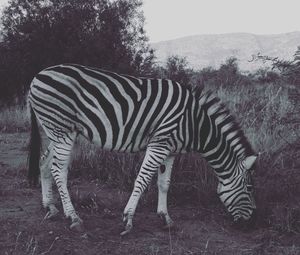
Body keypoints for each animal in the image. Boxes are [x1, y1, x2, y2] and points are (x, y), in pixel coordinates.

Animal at [28, 63, 256, 235]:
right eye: (248, 189)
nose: (250, 223)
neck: (195, 123)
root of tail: (38, 76)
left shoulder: (170, 150)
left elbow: (164, 183)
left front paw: (166, 218)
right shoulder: (159, 143)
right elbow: (142, 179)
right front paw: (128, 219)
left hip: (59, 131)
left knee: (44, 163)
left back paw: (50, 207)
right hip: (62, 129)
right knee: (59, 170)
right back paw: (73, 218)